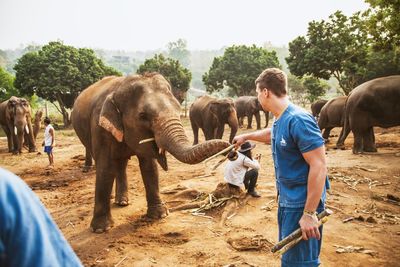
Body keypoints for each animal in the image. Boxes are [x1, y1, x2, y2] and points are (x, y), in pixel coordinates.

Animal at [70, 74, 230, 233]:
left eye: (178, 108)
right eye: (142, 116)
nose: (230, 149)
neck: (119, 87)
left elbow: (149, 167)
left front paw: (160, 215)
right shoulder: (100, 128)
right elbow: (105, 168)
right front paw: (101, 229)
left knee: (122, 163)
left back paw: (122, 202)